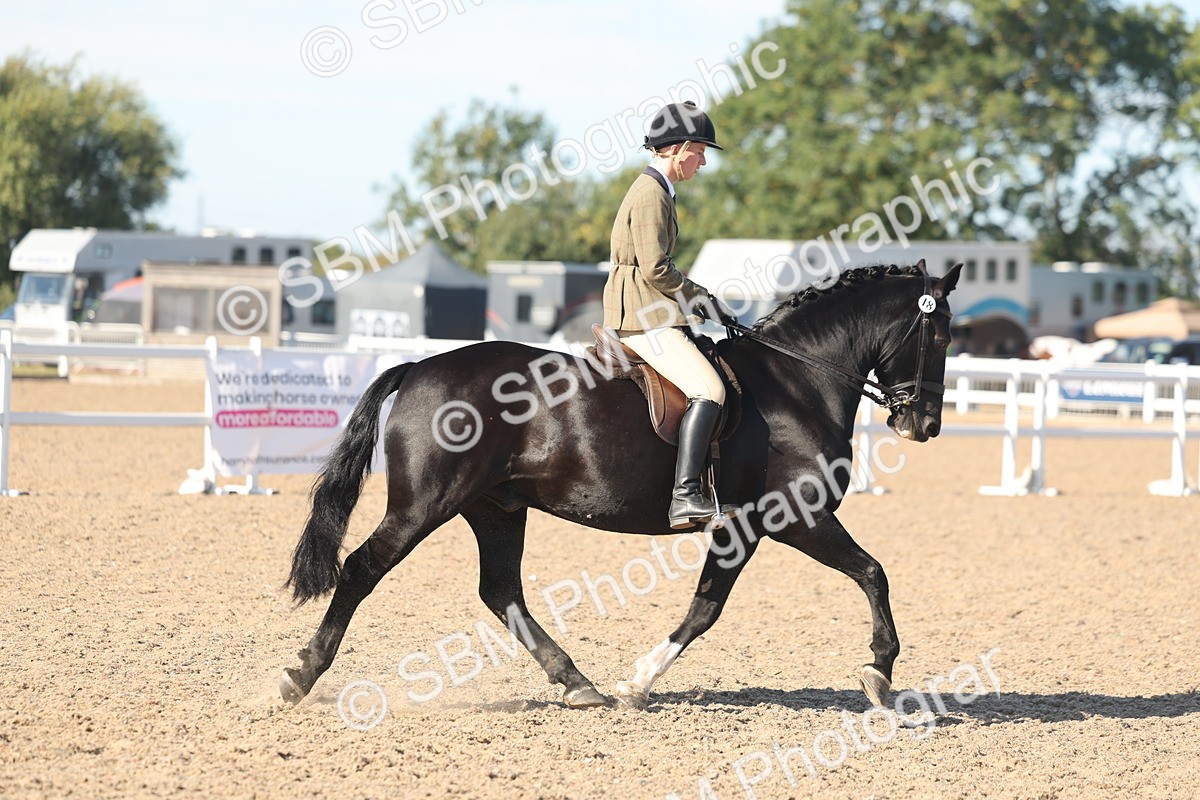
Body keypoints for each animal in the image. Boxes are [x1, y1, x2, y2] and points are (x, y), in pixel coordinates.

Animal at [280, 261, 962, 710]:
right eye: (941, 335)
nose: (925, 424)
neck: (797, 383)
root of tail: (421, 364)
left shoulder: (745, 527)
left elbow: (706, 606)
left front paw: (634, 682)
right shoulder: (793, 516)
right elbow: (871, 573)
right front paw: (879, 671)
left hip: (495, 507)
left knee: (501, 591)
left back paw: (576, 683)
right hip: (426, 503)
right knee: (362, 568)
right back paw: (301, 675)